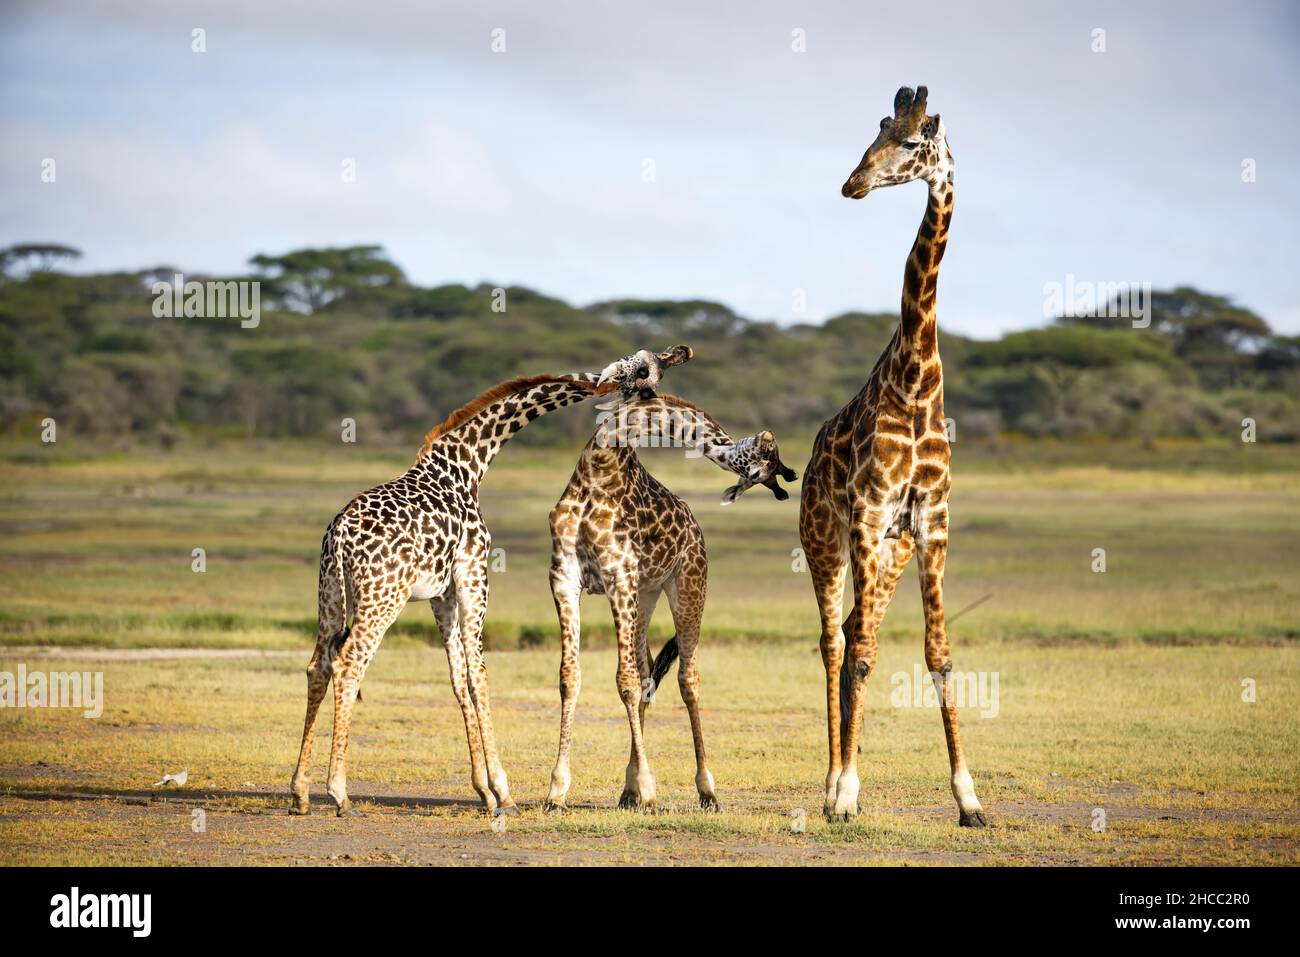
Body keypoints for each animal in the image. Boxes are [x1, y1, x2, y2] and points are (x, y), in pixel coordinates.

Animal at [289, 345, 692, 817]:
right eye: (646, 368)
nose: (680, 353)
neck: (468, 463)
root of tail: (339, 536)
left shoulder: (443, 593)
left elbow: (460, 678)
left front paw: (483, 789)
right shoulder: (474, 575)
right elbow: (480, 676)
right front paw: (504, 791)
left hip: (330, 595)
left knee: (318, 666)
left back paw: (299, 791)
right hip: (382, 598)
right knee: (349, 664)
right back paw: (339, 793)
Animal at [543, 393, 794, 812]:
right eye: (767, 462)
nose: (769, 436)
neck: (599, 465)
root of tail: (696, 526)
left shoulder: (619, 575)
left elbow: (625, 681)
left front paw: (649, 786)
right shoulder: (564, 577)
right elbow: (570, 676)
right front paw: (556, 790)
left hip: (689, 584)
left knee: (687, 678)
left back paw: (705, 789)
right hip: (645, 595)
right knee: (648, 671)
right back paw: (628, 791)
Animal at [799, 85, 988, 825]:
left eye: (911, 142)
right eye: (876, 133)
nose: (852, 183)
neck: (915, 378)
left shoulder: (930, 520)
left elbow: (938, 651)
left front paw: (970, 798)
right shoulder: (869, 510)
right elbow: (862, 655)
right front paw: (847, 793)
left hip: (892, 549)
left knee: (857, 631)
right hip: (828, 540)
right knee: (835, 641)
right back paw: (830, 784)